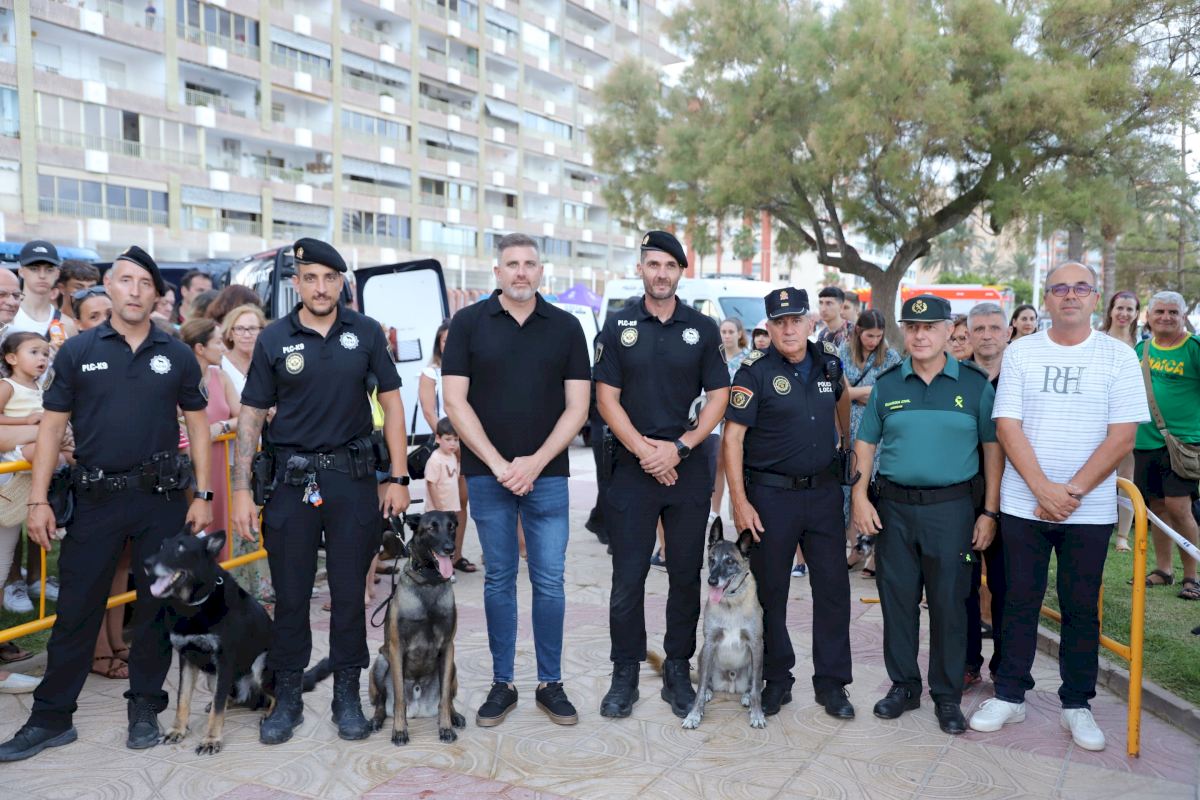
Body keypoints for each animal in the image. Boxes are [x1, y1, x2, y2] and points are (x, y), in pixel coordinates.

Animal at [144, 529, 274, 755]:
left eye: (181, 548)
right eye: (161, 546)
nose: (146, 564)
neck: (194, 604)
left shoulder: (224, 660)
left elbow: (217, 708)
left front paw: (211, 739)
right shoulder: (187, 659)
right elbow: (183, 699)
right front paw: (177, 730)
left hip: (260, 664)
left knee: (277, 695)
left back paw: (270, 715)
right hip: (212, 677)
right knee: (233, 698)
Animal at [304, 510, 464, 745]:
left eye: (452, 527)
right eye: (431, 528)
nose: (450, 548)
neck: (429, 582)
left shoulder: (448, 647)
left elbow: (444, 698)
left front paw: (445, 727)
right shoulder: (397, 649)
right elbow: (399, 698)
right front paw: (399, 730)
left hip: (451, 665)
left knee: (448, 698)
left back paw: (455, 715)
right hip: (381, 662)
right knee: (381, 702)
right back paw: (376, 720)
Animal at [682, 517, 766, 730]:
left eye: (730, 561)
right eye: (711, 559)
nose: (712, 581)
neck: (731, 602)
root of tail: (731, 684)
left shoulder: (756, 643)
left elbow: (756, 688)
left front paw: (757, 714)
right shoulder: (710, 642)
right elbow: (700, 687)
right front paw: (694, 714)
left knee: (755, 684)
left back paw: (746, 696)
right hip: (703, 655)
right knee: (705, 681)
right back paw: (709, 691)